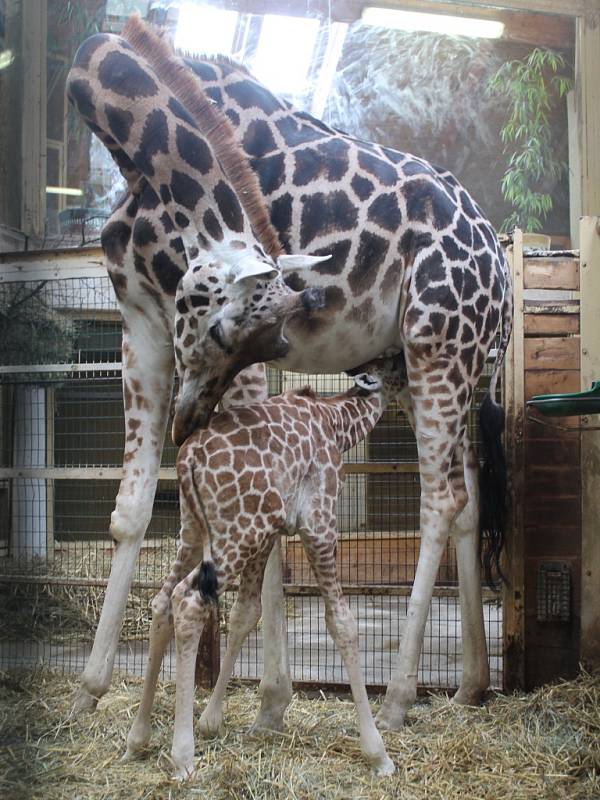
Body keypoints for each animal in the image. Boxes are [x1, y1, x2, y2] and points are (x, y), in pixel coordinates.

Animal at [69, 18, 510, 732]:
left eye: (244, 334)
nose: (188, 419)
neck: (133, 153)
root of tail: (501, 263)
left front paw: (265, 700)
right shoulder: (139, 319)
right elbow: (130, 510)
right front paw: (90, 687)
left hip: (438, 345)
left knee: (441, 498)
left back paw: (398, 698)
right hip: (434, 364)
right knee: (466, 490)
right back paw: (471, 684)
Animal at [126, 358, 408, 780]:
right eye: (397, 363)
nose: (412, 382)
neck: (336, 423)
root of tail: (187, 458)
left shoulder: (271, 533)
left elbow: (247, 612)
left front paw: (212, 720)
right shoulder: (319, 523)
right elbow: (342, 622)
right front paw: (378, 754)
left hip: (194, 529)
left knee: (162, 600)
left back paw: (138, 738)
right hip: (238, 531)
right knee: (188, 601)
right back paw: (183, 757)